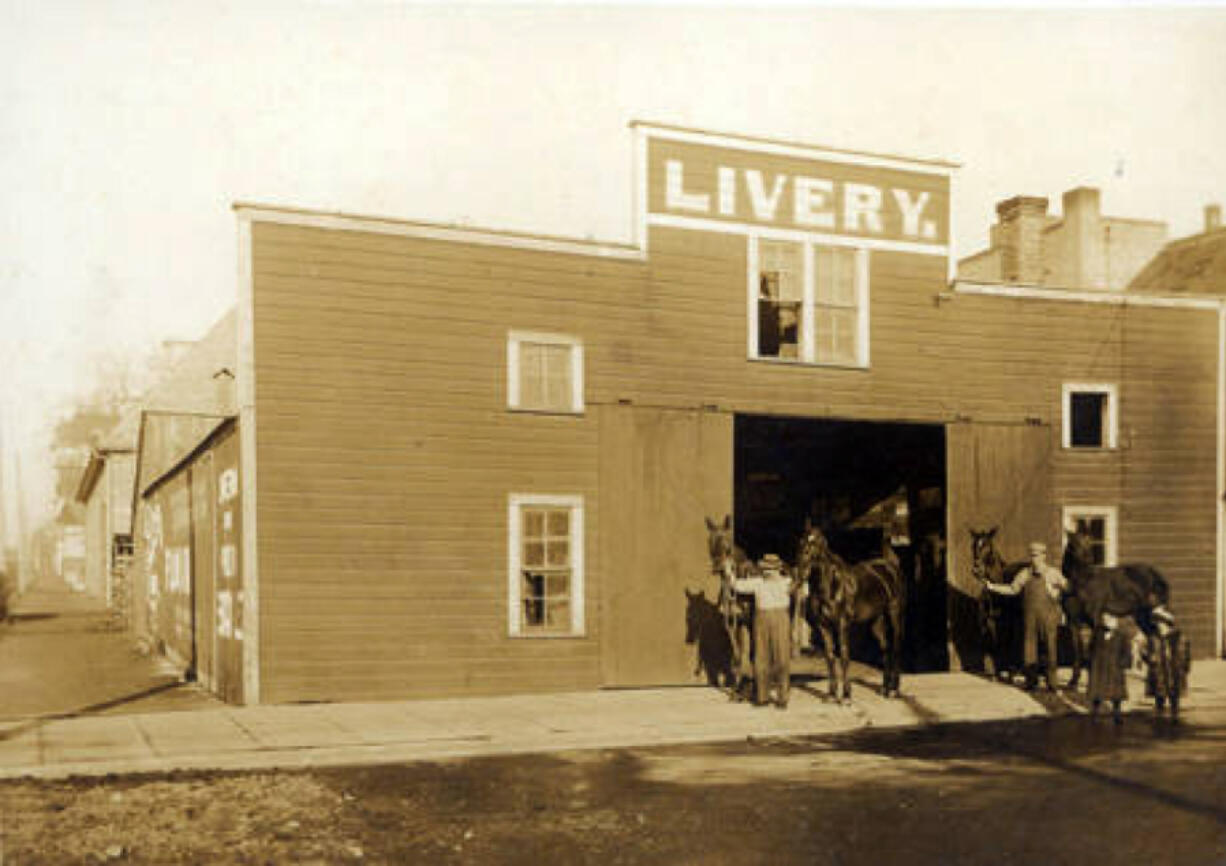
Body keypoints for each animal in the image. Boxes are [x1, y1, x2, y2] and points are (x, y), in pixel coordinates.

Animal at [789, 515, 907, 696]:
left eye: (816, 543)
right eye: (800, 542)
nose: (801, 573)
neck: (831, 586)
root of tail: (891, 567)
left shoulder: (842, 623)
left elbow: (844, 655)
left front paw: (846, 694)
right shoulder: (823, 626)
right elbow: (830, 656)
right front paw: (831, 694)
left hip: (895, 614)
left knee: (896, 647)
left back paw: (894, 689)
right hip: (876, 621)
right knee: (885, 648)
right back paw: (884, 688)